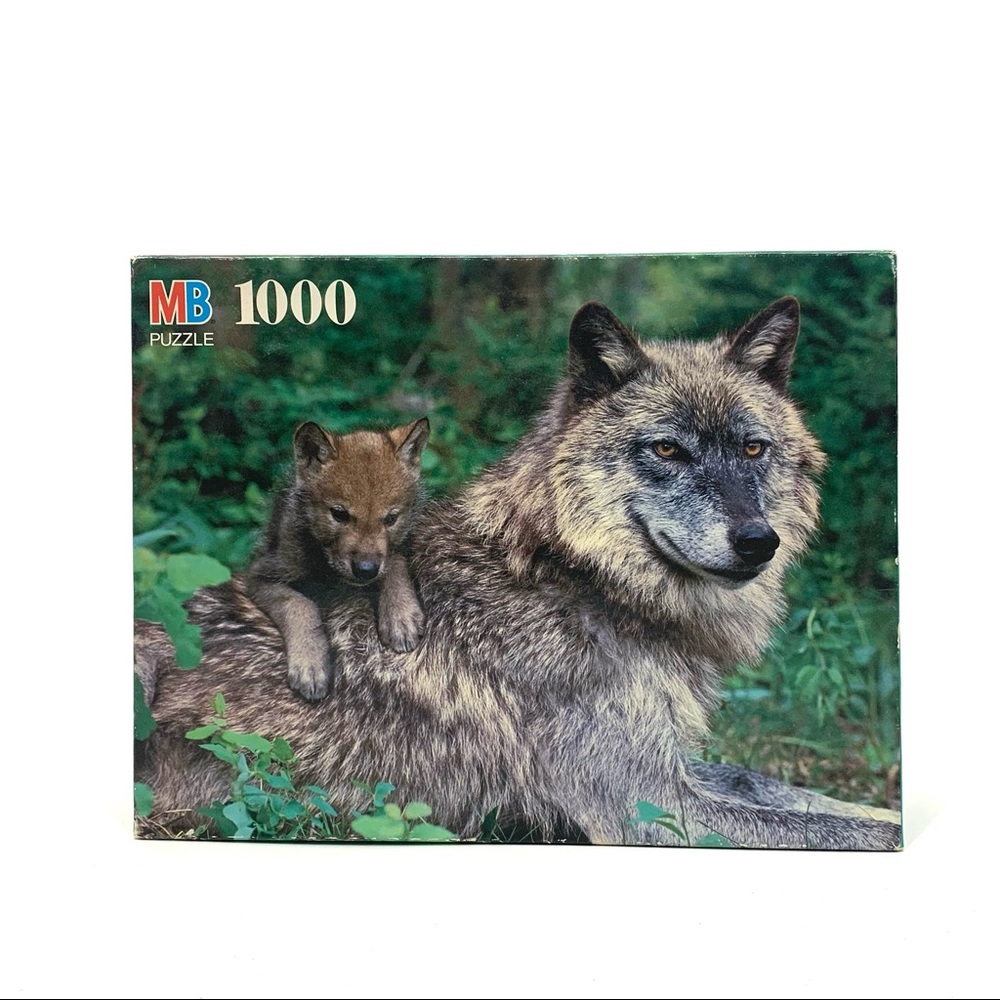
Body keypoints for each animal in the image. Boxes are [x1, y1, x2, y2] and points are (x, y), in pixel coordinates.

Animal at [246, 419, 429, 701]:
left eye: (391, 519)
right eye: (339, 514)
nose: (365, 570)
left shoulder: (395, 549)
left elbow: (394, 561)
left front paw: (400, 614)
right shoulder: (260, 575)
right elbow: (299, 604)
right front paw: (310, 664)